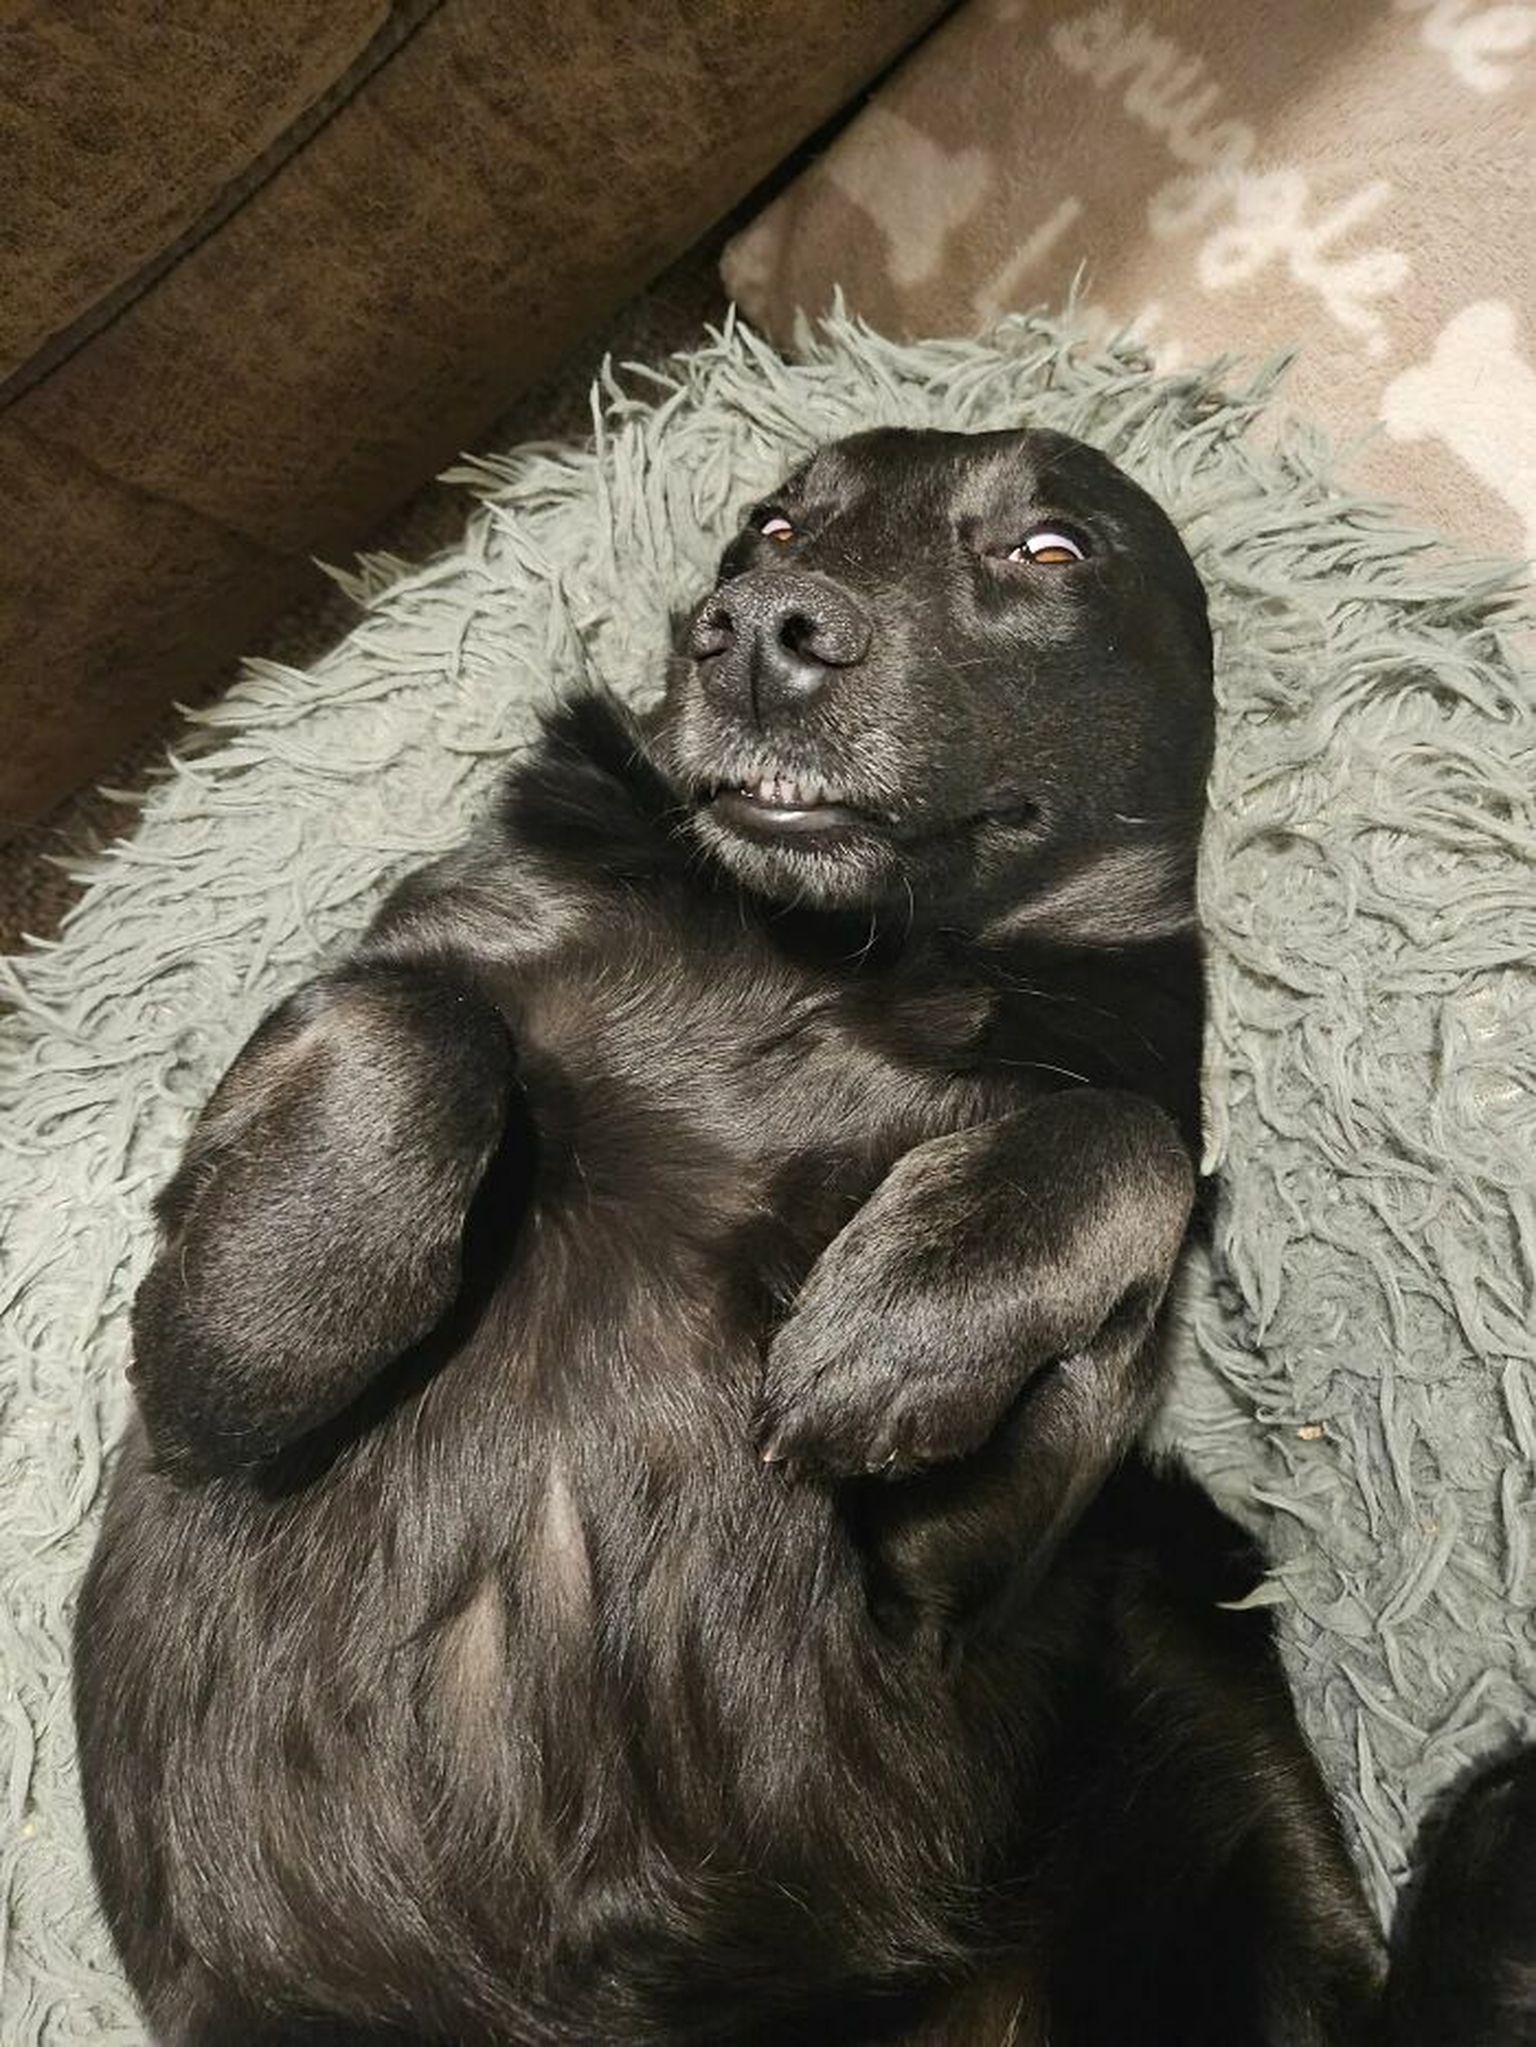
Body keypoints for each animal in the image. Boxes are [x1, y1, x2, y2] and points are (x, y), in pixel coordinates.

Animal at [74, 426, 1535, 2045]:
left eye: (1050, 550)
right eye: (770, 525)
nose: (760, 631)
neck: (841, 952)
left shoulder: (959, 1586)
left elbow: (1133, 1144)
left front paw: (907, 1318)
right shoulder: (355, 1019)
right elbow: (411, 1014)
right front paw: (264, 1322)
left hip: (1185, 1632)